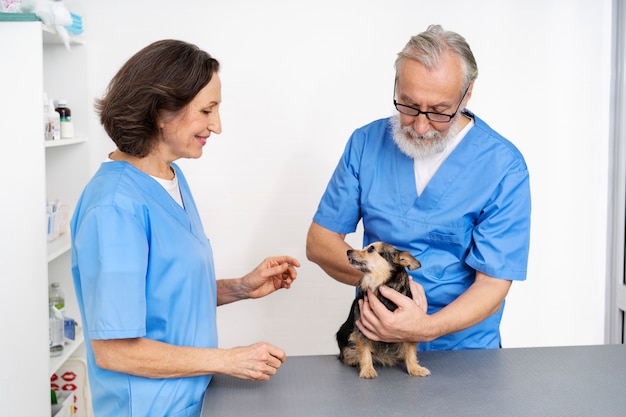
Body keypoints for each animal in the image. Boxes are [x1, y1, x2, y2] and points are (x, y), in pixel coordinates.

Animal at [336, 242, 428, 378]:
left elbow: (411, 351)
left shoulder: (409, 327)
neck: (379, 283)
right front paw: (367, 370)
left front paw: (415, 368)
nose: (348, 251)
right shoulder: (362, 329)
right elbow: (364, 350)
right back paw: (353, 359)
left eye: (370, 249)